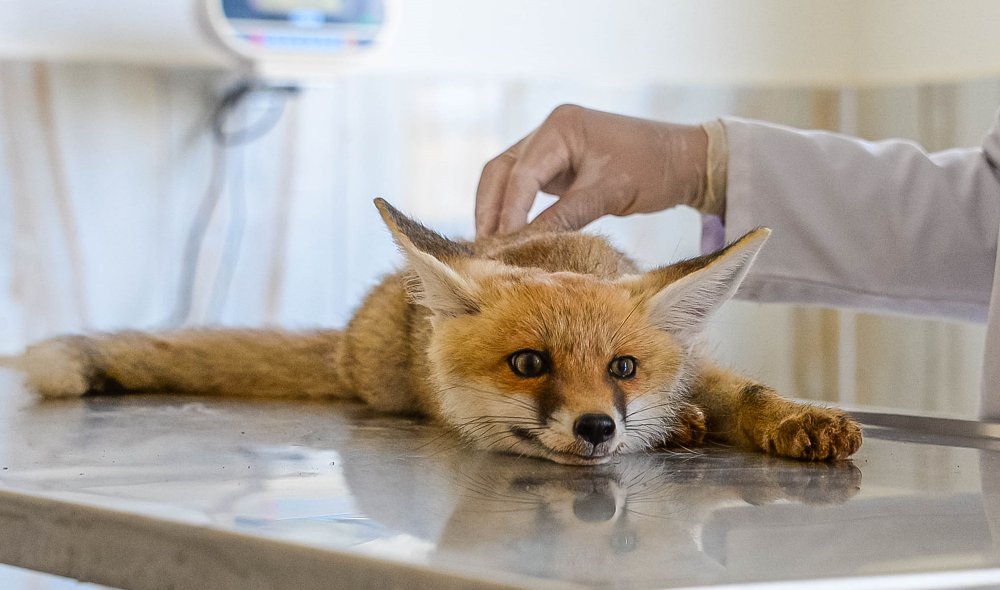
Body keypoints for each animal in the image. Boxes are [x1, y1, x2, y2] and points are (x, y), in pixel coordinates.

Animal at [15, 201, 860, 464]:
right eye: (529, 363)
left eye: (623, 368)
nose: (596, 428)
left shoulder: (694, 366)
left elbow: (745, 392)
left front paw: (798, 419)